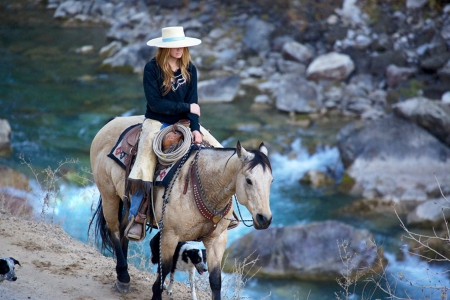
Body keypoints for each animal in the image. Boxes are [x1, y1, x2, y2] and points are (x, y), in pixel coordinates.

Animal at [87, 113, 270, 298]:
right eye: (249, 180)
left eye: (271, 180)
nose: (265, 219)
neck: (204, 185)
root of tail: (113, 122)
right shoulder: (169, 235)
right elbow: (165, 269)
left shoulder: (217, 240)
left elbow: (215, 280)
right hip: (109, 195)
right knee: (115, 231)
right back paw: (123, 277)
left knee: (125, 230)